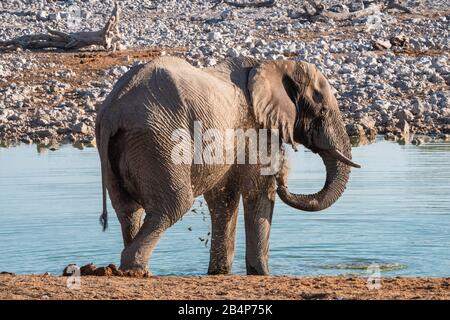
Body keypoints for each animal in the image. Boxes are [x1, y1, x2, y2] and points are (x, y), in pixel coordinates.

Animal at [94, 55, 358, 276]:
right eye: (322, 111)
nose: (283, 173)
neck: (273, 64)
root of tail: (113, 111)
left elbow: (224, 198)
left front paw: (219, 273)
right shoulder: (253, 127)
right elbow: (257, 190)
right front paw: (263, 274)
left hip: (123, 149)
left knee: (128, 210)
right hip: (158, 141)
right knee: (173, 205)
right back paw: (135, 270)